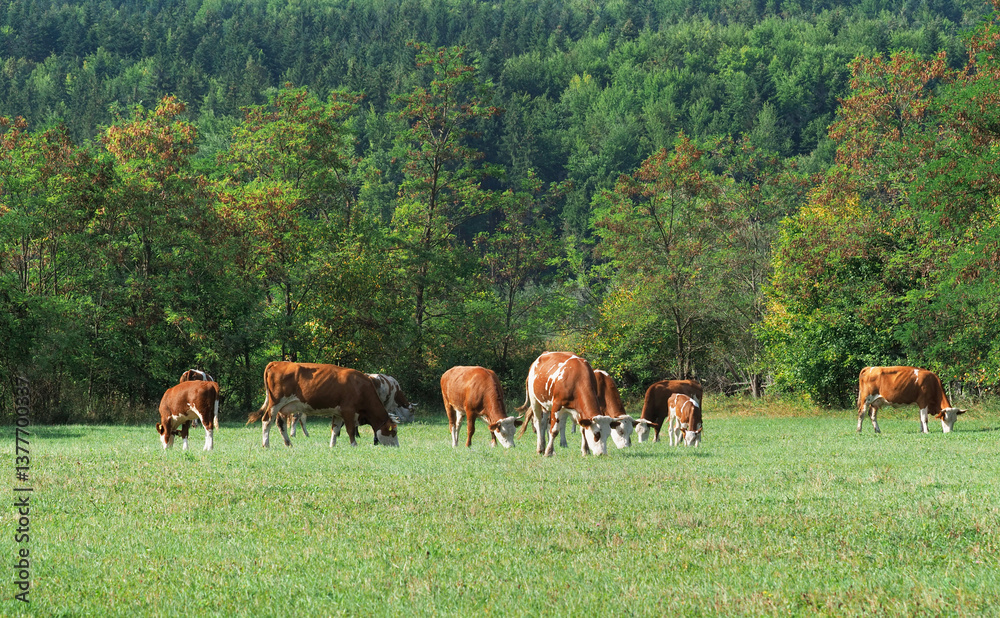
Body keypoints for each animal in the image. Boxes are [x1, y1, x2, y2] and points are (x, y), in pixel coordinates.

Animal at [247, 361, 399, 448]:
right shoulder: (348, 411)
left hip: (284, 407)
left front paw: (332, 445)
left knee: (280, 424)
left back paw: (288, 443)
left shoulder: (339, 413)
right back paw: (266, 444)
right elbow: (350, 430)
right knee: (267, 421)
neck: (361, 387)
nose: (397, 446)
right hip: (275, 403)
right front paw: (354, 445)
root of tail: (277, 362)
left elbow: (335, 429)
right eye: (393, 432)